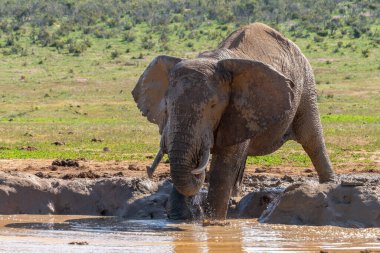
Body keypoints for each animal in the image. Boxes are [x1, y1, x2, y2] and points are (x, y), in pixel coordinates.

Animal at [132, 22, 334, 219]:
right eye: (167, 106)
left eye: (213, 106)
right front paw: (179, 219)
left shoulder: (239, 110)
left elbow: (223, 166)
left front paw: (213, 222)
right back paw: (235, 196)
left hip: (306, 83)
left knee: (311, 138)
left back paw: (329, 185)